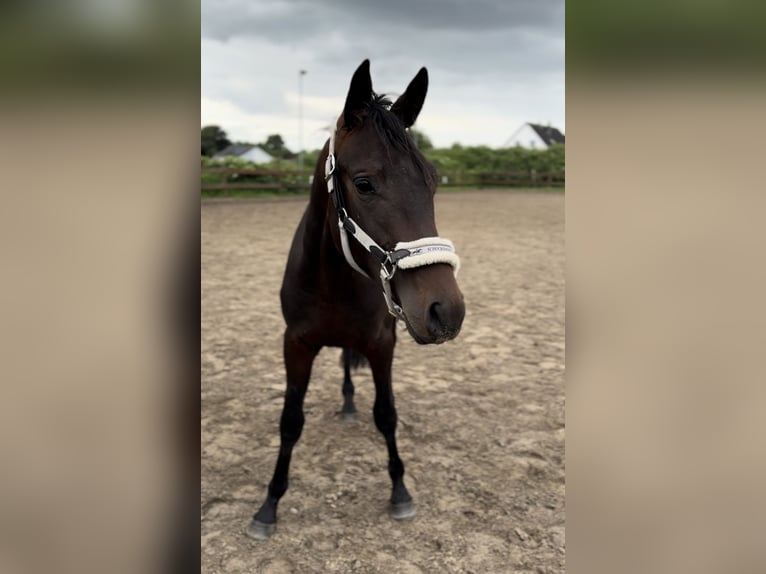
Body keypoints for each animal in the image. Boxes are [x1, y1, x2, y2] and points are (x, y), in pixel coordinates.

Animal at [250, 60, 468, 544]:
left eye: (433, 181)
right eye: (365, 184)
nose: (445, 310)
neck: (332, 283)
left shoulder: (382, 343)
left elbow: (386, 414)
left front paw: (400, 492)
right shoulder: (295, 345)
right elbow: (290, 421)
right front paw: (268, 506)